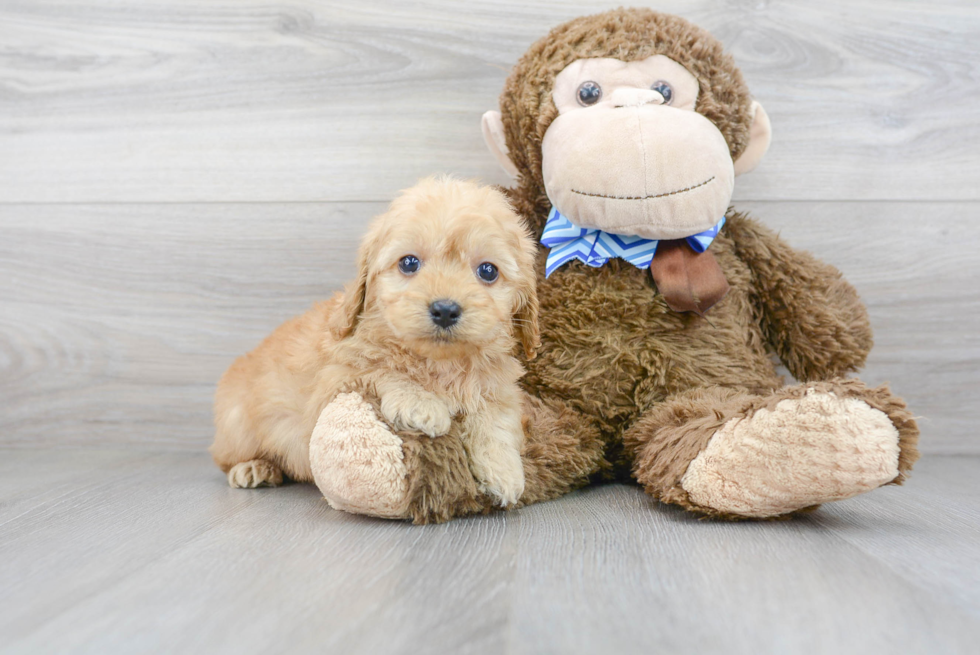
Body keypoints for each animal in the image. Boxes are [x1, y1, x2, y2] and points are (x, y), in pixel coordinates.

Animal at [210, 178, 540, 508]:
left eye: (488, 270)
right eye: (409, 263)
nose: (445, 310)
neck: (438, 362)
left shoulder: (498, 386)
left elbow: (495, 418)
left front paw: (503, 470)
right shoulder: (334, 381)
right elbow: (379, 370)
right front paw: (420, 402)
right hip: (237, 424)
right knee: (225, 458)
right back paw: (253, 467)